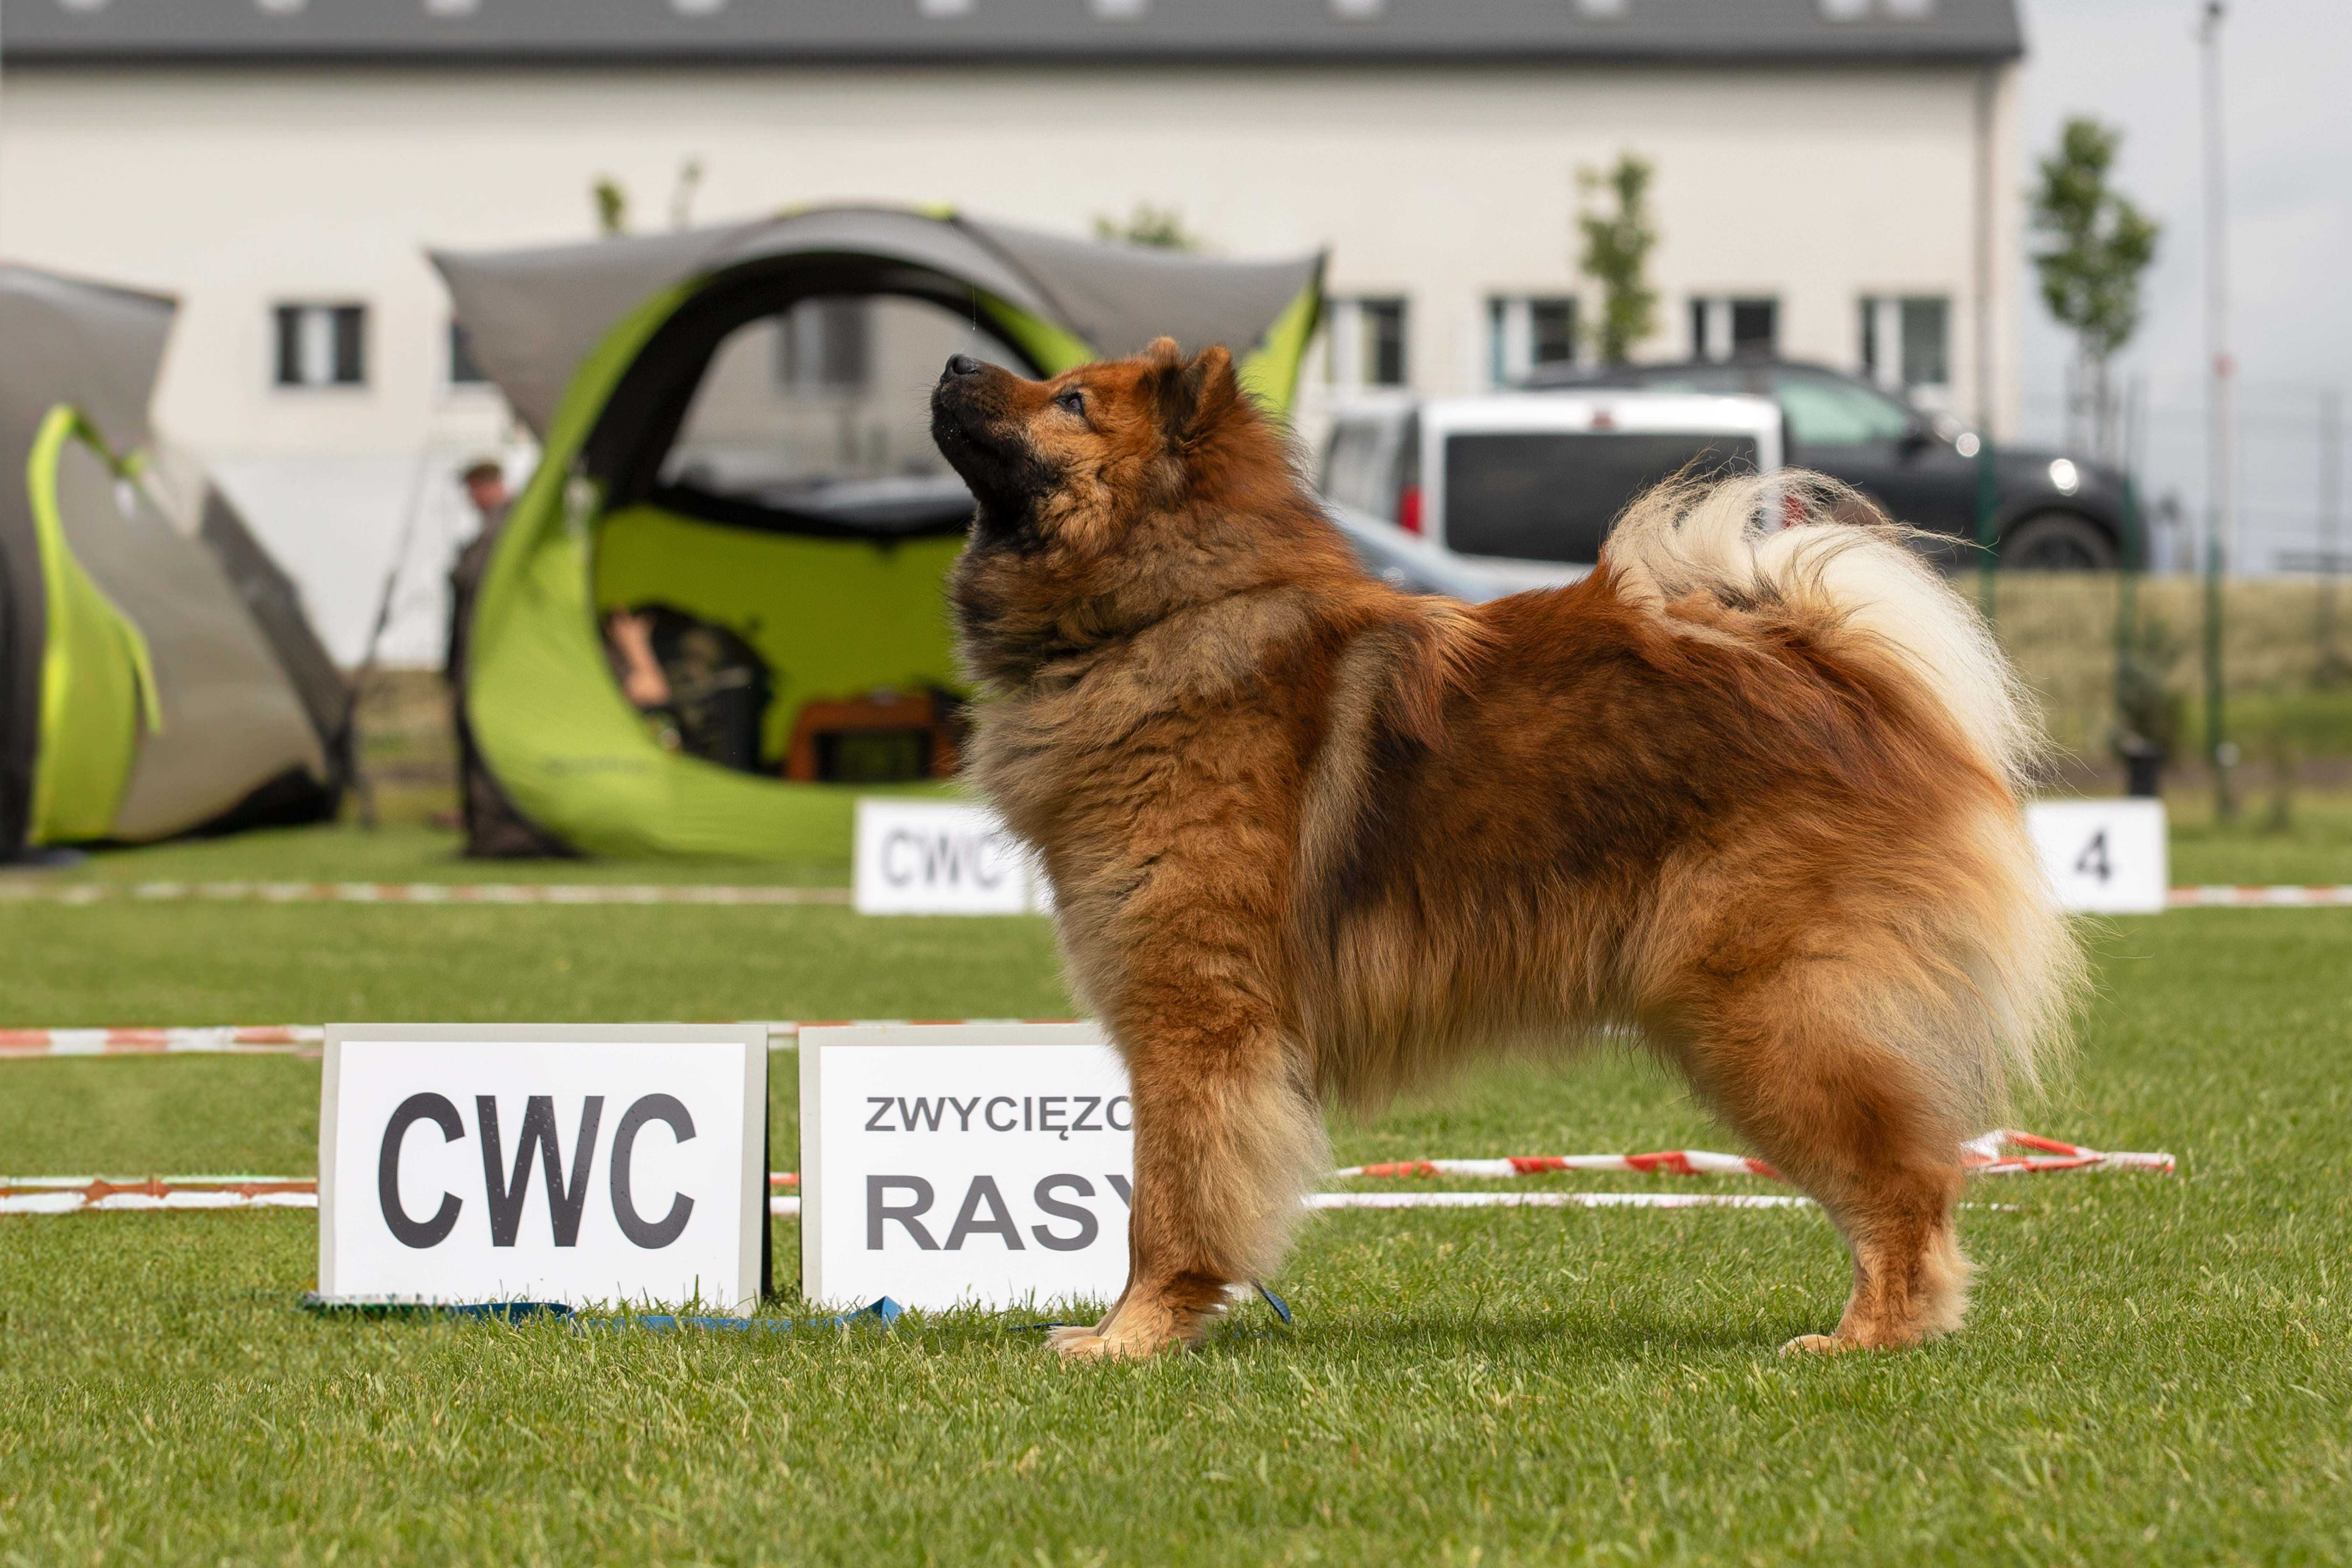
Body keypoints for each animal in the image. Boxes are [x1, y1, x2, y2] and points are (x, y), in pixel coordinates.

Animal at [926, 341, 2088, 1363]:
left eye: (1070, 401)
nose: (951, 363)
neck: (1169, 616)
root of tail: (1836, 676)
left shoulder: (1194, 1017)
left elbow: (1167, 1204)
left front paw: (1130, 1337)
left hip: (1770, 1014)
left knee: (1908, 1179)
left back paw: (1866, 1336)